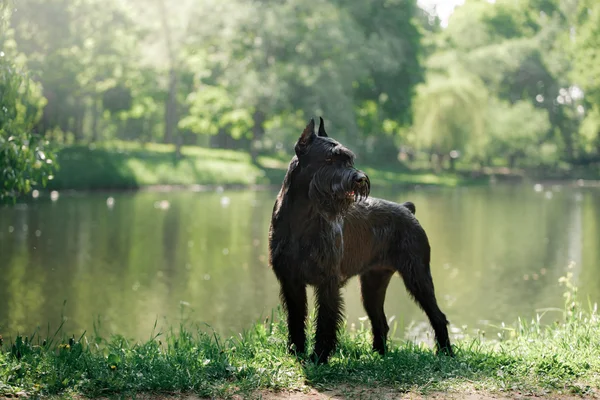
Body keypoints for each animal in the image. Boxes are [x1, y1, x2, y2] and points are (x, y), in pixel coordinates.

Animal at [270, 117, 452, 364]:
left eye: (349, 159)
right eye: (329, 159)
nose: (360, 178)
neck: (302, 217)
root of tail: (407, 209)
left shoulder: (327, 283)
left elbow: (325, 322)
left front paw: (319, 357)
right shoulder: (291, 282)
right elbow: (296, 320)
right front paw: (296, 352)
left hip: (418, 277)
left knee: (438, 316)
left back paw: (446, 353)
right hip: (372, 284)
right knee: (381, 322)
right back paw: (379, 355)